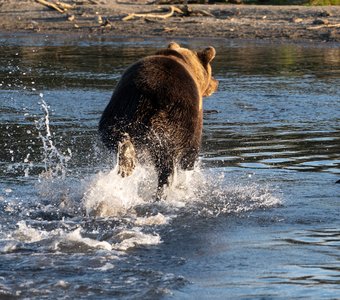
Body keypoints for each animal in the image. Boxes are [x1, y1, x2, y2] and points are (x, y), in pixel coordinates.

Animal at [98, 41, 218, 199]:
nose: (216, 83)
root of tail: (149, 93)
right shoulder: (196, 117)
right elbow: (189, 155)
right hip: (173, 118)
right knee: (167, 157)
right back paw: (165, 187)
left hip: (121, 106)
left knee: (111, 133)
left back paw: (127, 160)